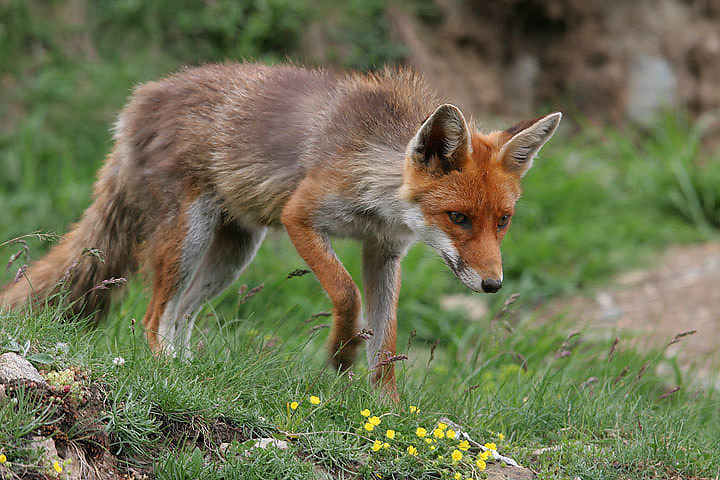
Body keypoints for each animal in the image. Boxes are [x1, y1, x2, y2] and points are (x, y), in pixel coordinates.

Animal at [0, 62, 560, 402]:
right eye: (458, 218)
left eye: (503, 221)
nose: (493, 285)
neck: (377, 185)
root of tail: (140, 100)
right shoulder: (301, 217)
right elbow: (346, 294)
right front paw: (340, 354)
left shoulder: (384, 252)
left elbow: (387, 340)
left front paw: (388, 408)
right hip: (189, 238)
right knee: (154, 318)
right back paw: (165, 371)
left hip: (232, 254)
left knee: (179, 316)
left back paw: (187, 373)